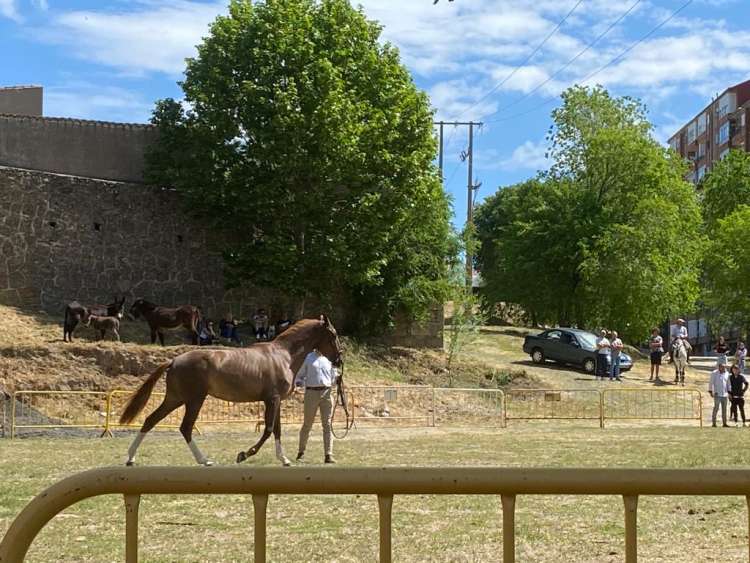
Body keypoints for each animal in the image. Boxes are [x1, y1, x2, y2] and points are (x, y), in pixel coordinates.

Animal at [119, 315, 342, 467]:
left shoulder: (276, 401)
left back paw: (130, 458)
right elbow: (269, 429)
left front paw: (284, 459)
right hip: (194, 400)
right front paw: (244, 454)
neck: (283, 356)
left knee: (151, 420)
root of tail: (174, 361)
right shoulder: (272, 399)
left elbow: (277, 430)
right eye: (333, 335)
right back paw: (204, 460)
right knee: (185, 427)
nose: (339, 359)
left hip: (175, 399)